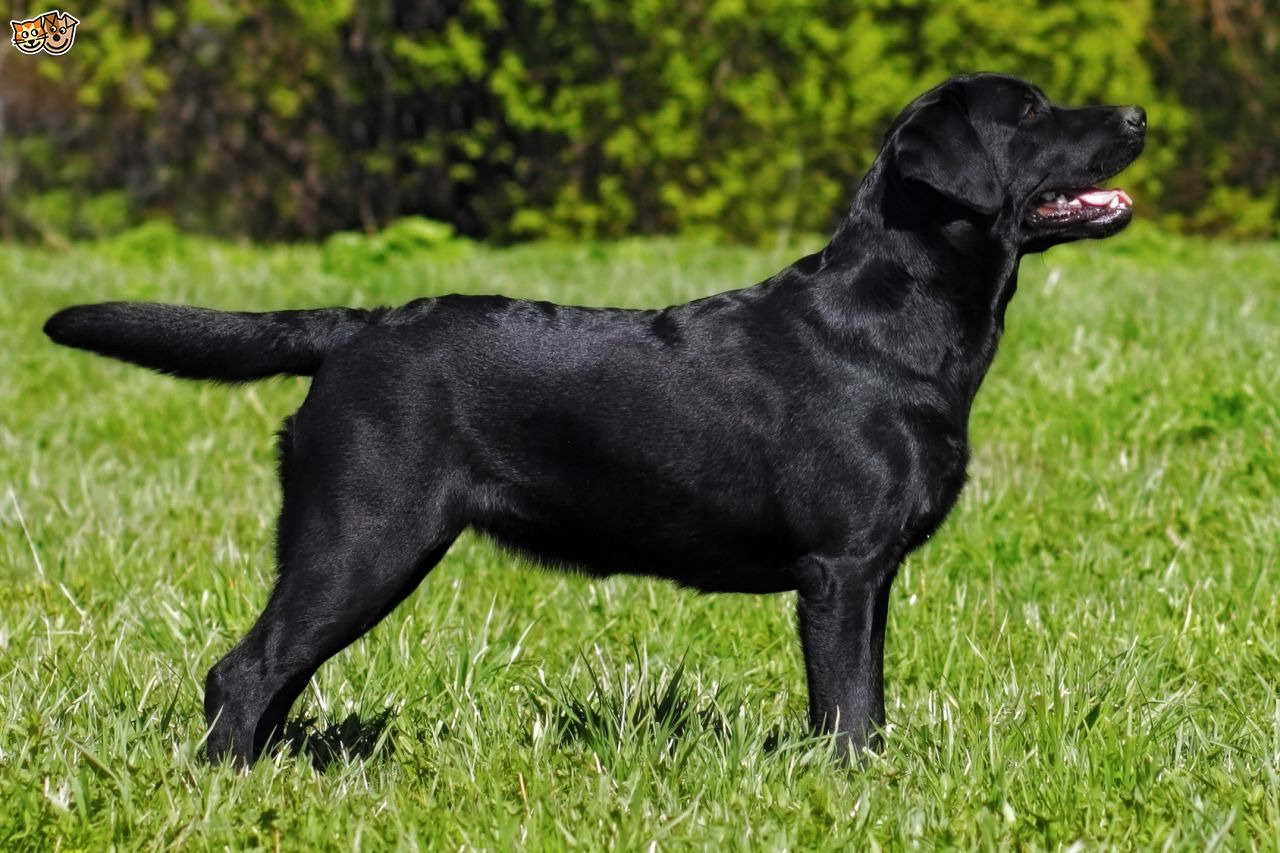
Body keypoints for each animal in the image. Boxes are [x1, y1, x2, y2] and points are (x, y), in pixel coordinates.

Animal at [45, 73, 1146, 763]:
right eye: (1032, 110)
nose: (1137, 114)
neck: (898, 317)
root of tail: (356, 328)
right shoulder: (840, 567)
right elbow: (846, 707)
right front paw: (855, 790)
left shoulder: (868, 575)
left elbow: (864, 701)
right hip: (361, 539)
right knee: (242, 672)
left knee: (270, 677)